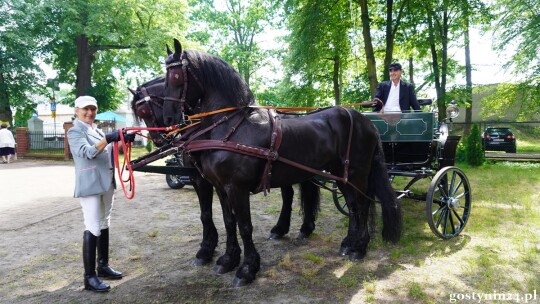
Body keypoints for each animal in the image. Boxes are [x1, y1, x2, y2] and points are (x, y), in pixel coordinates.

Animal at [129, 76, 322, 266]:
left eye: (143, 111)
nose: (158, 140)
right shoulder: (203, 179)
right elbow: (209, 214)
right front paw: (209, 248)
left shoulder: (202, 179)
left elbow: (208, 215)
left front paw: (207, 249)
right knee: (288, 194)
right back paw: (282, 229)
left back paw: (303, 227)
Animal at [160, 38, 400, 288]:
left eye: (175, 76)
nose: (168, 119)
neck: (231, 128)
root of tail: (366, 122)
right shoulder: (220, 187)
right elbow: (228, 221)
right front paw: (228, 260)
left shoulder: (237, 188)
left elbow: (245, 226)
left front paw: (247, 269)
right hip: (341, 175)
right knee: (353, 206)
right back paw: (348, 244)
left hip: (357, 174)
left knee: (362, 206)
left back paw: (359, 248)